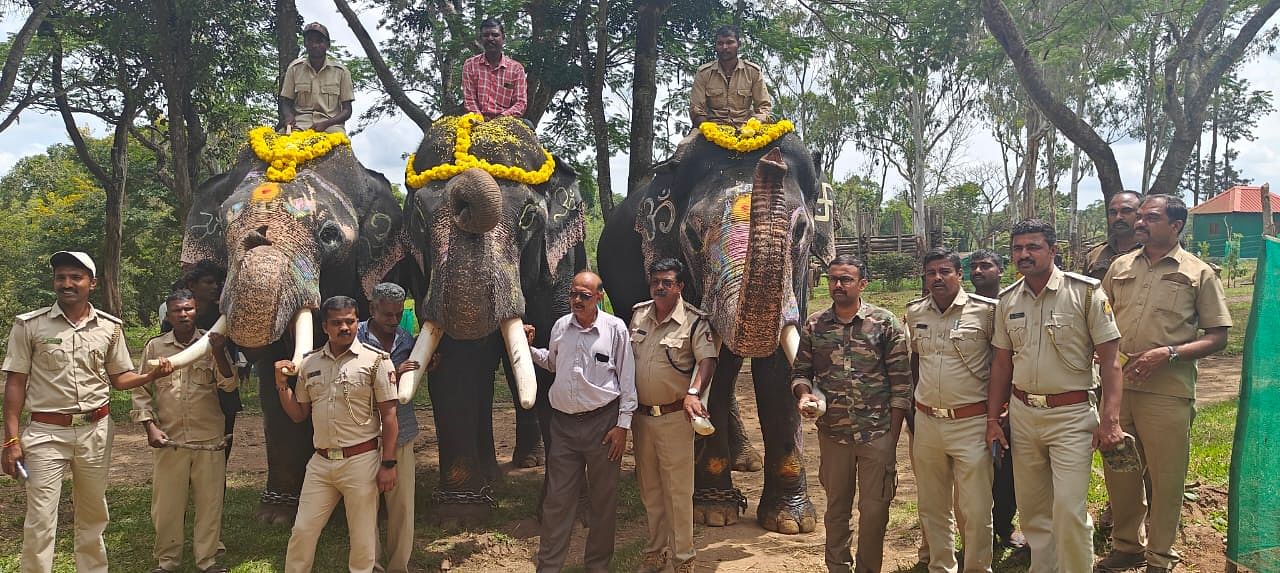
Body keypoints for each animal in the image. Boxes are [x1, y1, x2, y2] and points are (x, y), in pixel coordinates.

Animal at [396, 113, 586, 526]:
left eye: (529, 217)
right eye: (418, 217)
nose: (464, 202)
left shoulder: (559, 263)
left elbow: (552, 359)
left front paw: (560, 512)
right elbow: (455, 363)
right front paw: (461, 513)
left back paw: (527, 462)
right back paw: (491, 477)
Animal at [593, 125, 834, 532]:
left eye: (801, 230)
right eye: (691, 235)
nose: (771, 162)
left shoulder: (799, 279)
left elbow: (778, 368)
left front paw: (791, 522)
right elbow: (713, 369)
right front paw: (713, 513)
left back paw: (744, 461)